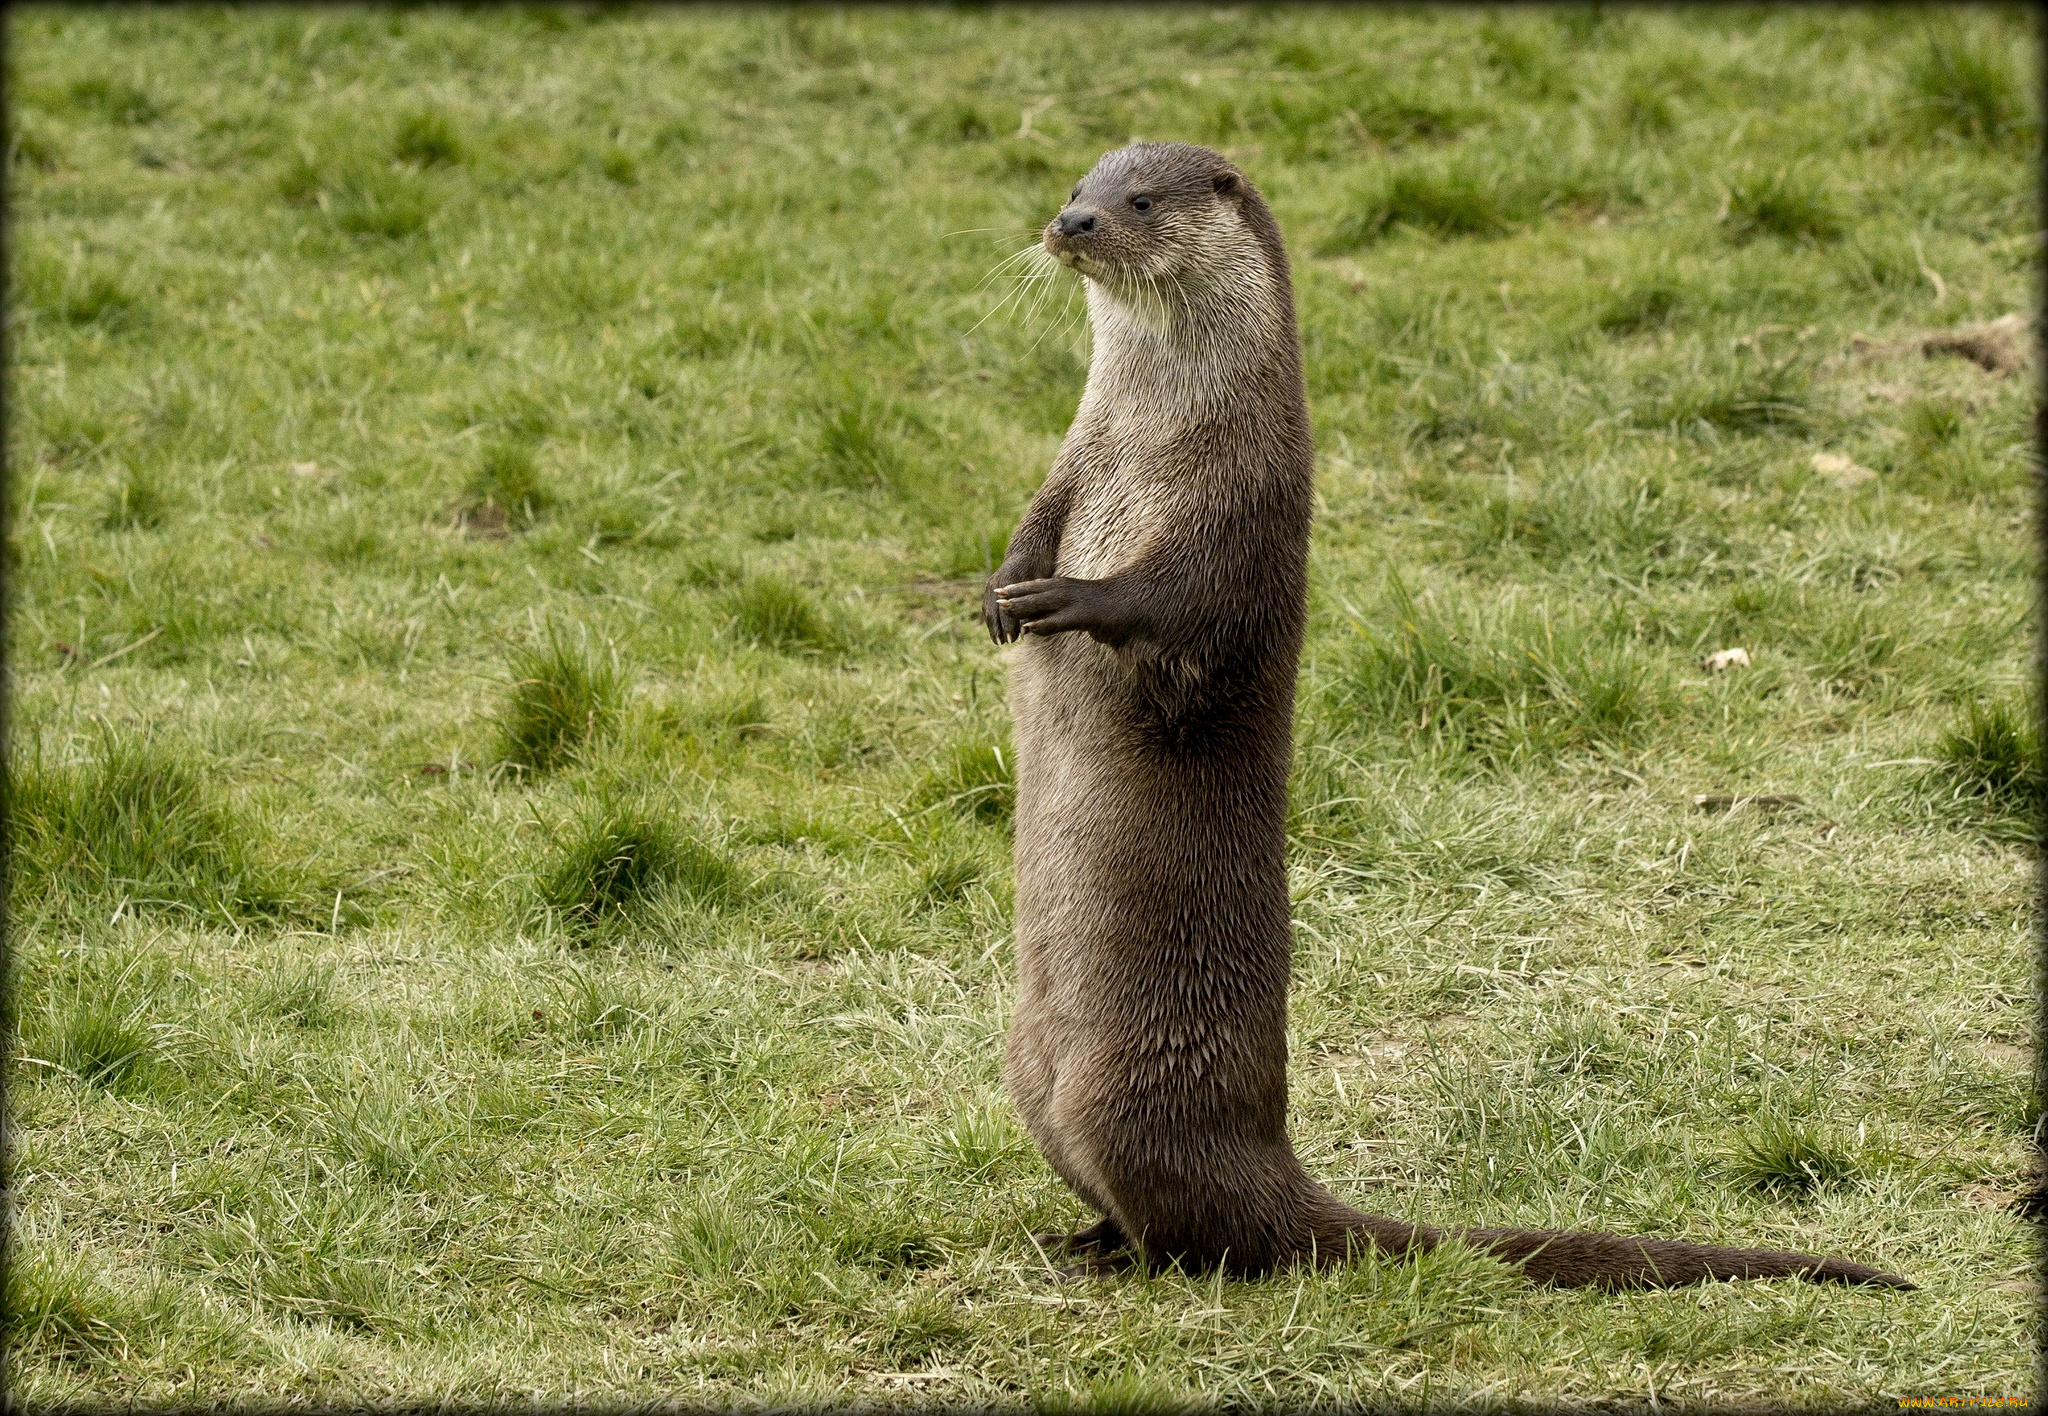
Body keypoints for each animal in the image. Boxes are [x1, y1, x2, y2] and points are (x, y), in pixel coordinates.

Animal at [983, 144, 1908, 1295]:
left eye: (1139, 201)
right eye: (1081, 185)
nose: (1071, 225)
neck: (1152, 437)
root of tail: (1271, 1165)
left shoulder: (1243, 512)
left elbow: (1176, 603)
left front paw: (1067, 597)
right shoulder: (1073, 461)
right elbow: (1034, 517)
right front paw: (1004, 586)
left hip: (1125, 1099)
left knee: (1211, 1238)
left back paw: (1135, 1257)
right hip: (1026, 1076)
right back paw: (1083, 1236)